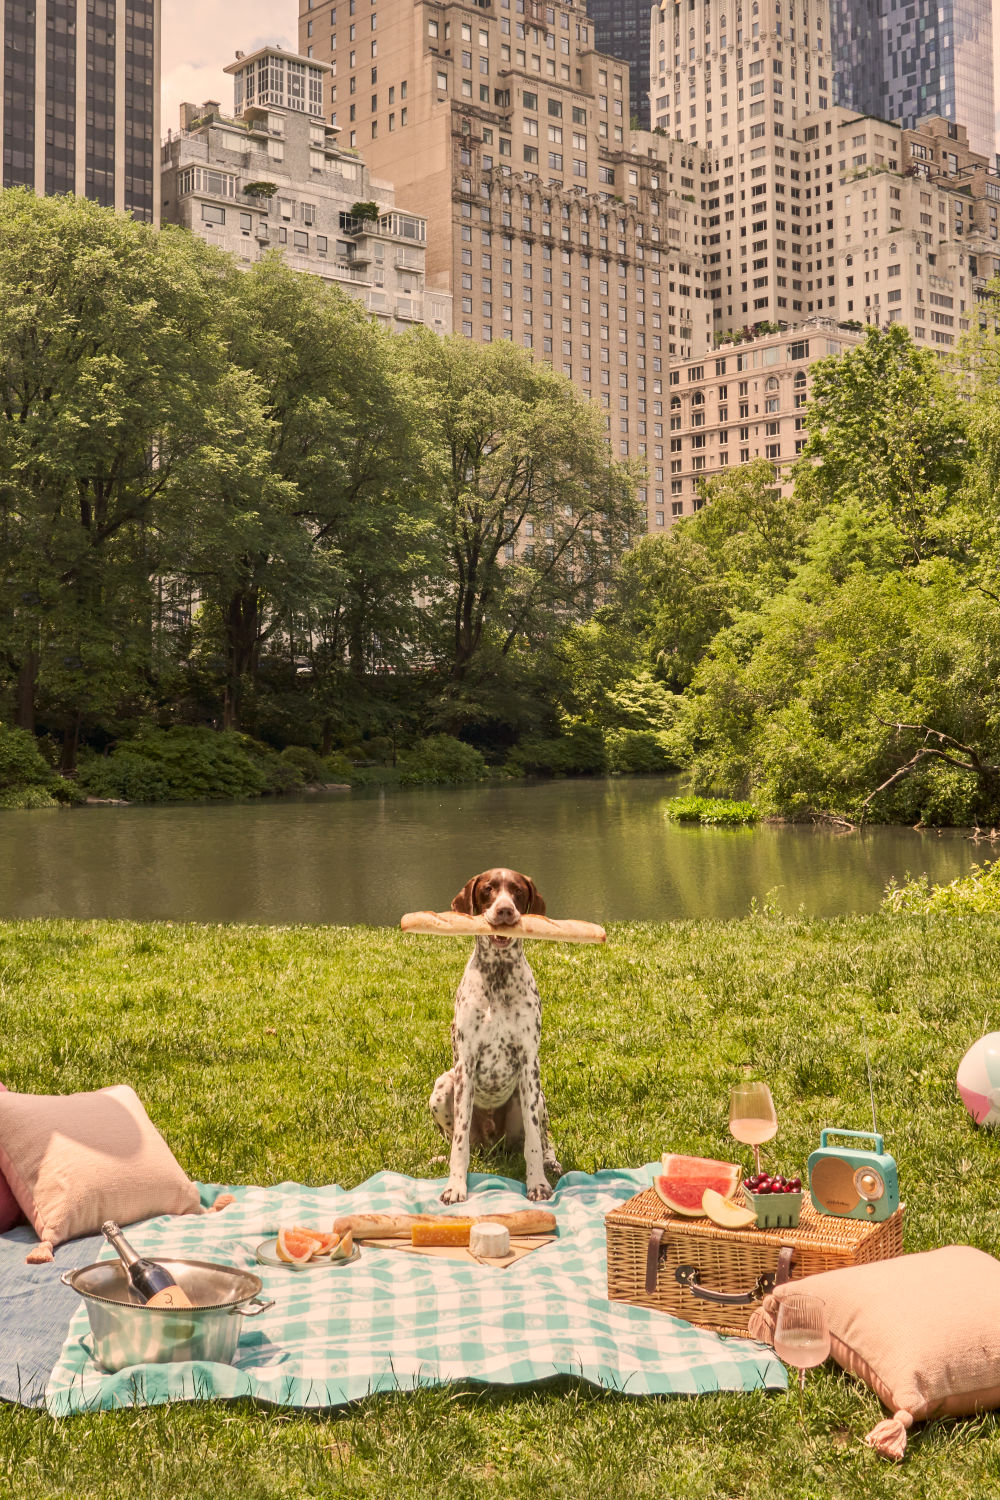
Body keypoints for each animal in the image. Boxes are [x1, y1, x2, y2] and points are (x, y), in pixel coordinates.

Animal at [431, 870, 563, 1206]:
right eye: (489, 889)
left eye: (517, 891)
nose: (504, 910)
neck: (499, 975)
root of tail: (493, 1146)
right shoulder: (465, 1065)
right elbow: (459, 1142)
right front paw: (455, 1186)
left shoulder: (529, 1064)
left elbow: (533, 1141)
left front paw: (538, 1184)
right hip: (443, 1085)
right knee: (457, 1139)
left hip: (538, 1096)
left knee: (542, 1138)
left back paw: (551, 1162)